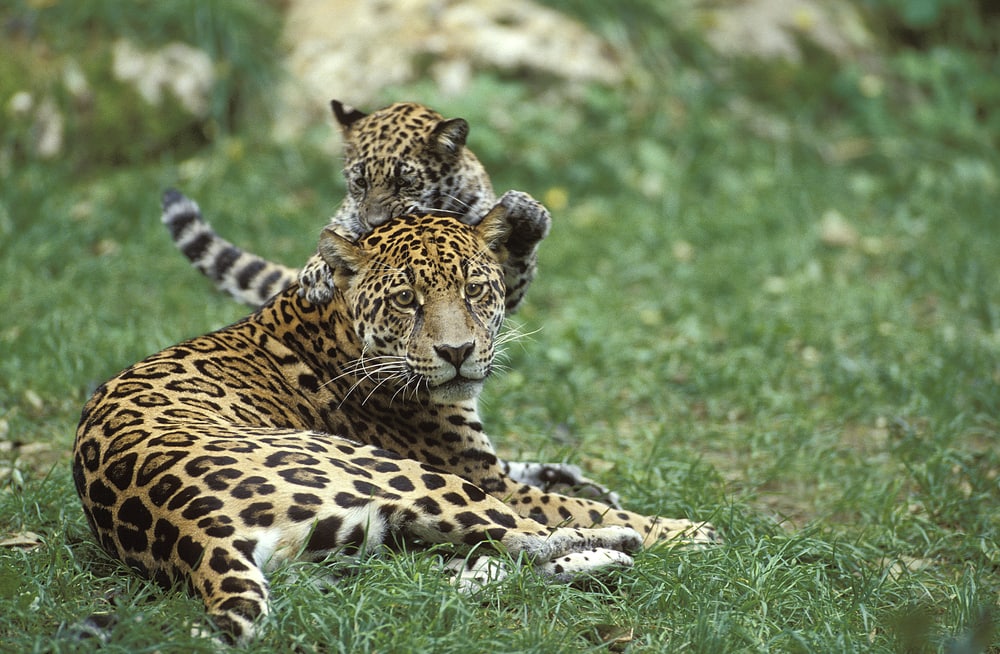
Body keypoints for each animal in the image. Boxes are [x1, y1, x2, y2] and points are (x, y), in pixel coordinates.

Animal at [74, 189, 716, 644]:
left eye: (475, 289)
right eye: (407, 300)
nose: (457, 352)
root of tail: (193, 535)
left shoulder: (488, 466)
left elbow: (543, 477)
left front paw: (576, 474)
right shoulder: (481, 476)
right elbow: (562, 505)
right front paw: (679, 528)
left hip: (345, 555)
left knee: (463, 570)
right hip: (401, 474)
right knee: (523, 536)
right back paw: (625, 543)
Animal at [164, 100, 546, 314]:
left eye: (405, 183)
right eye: (359, 182)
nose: (375, 220)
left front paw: (527, 211)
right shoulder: (347, 216)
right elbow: (334, 237)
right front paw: (317, 273)